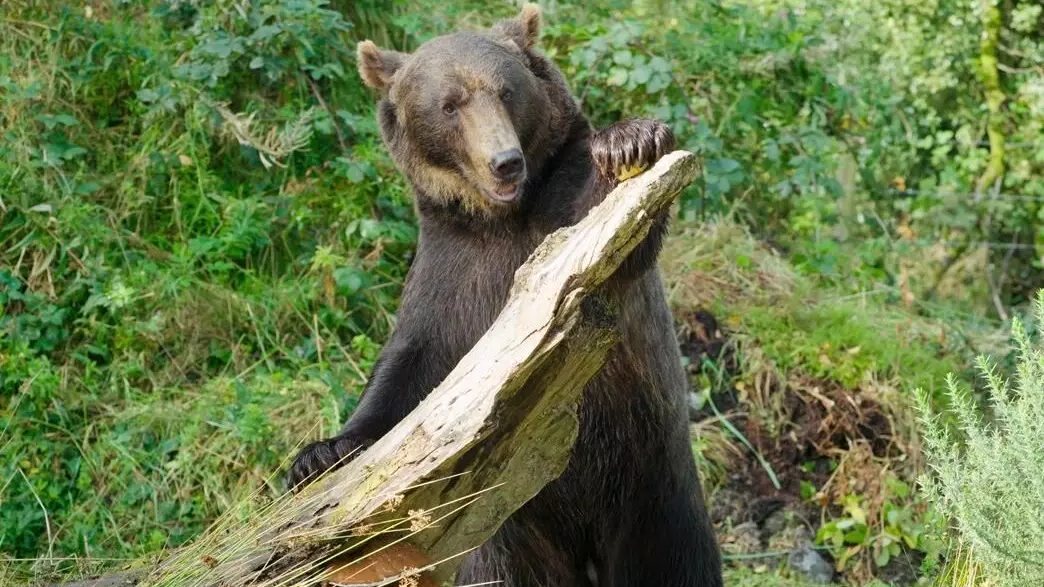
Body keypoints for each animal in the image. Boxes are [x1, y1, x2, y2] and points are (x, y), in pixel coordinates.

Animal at [288, 5, 722, 586]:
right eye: (449, 104)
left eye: (506, 91)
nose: (505, 161)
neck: (502, 219)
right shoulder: (454, 272)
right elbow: (408, 371)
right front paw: (318, 454)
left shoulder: (557, 224)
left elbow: (610, 234)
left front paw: (630, 140)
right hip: (509, 529)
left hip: (652, 487)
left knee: (673, 560)